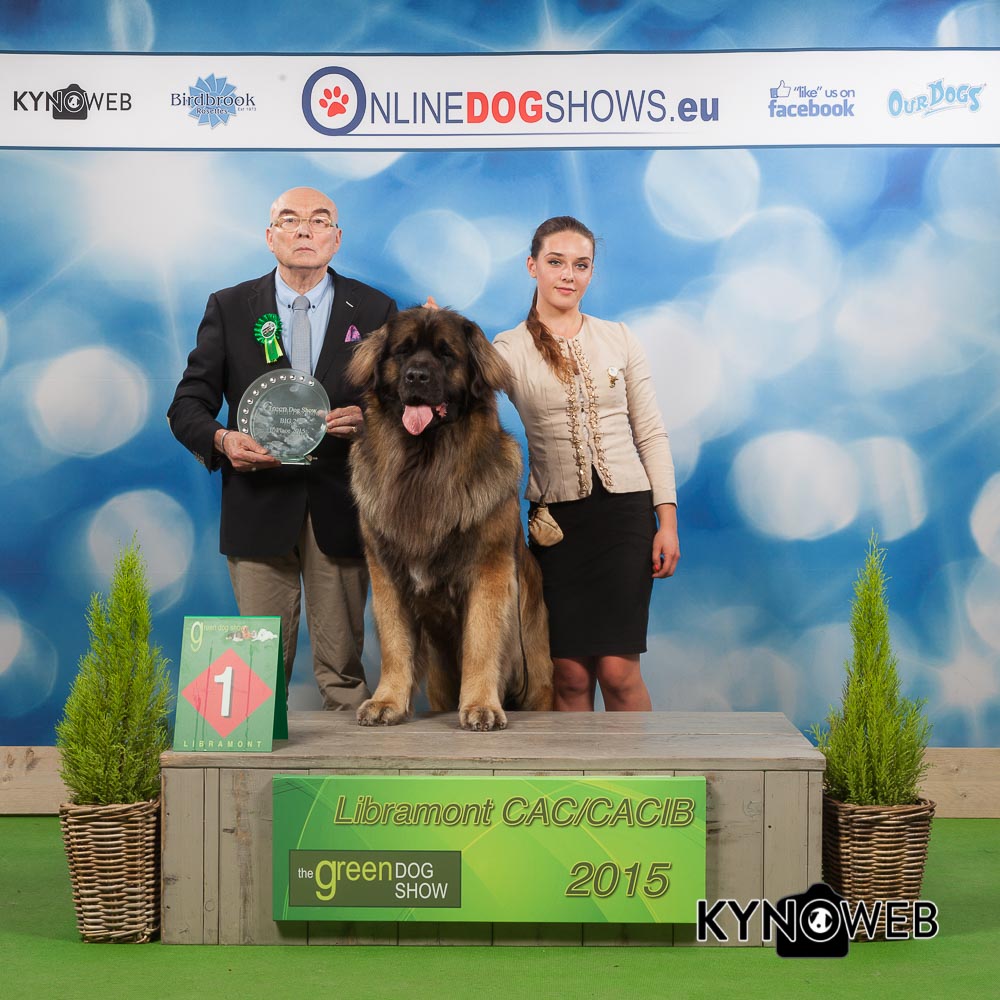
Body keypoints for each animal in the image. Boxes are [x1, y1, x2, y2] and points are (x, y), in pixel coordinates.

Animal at [346, 306, 553, 730]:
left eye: (445, 355)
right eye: (403, 352)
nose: (416, 376)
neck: (424, 466)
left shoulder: (488, 572)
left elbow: (481, 641)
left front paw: (480, 706)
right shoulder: (386, 573)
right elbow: (395, 643)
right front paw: (387, 701)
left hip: (536, 674)